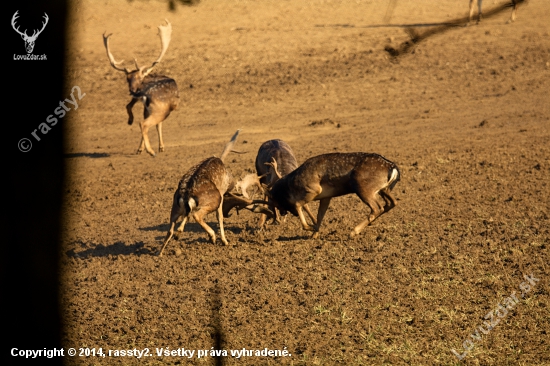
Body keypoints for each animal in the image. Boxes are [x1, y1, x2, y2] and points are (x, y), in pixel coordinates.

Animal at [103, 20, 179, 157]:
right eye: (127, 78)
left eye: (137, 78)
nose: (132, 90)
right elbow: (158, 125)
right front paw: (161, 147)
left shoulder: (143, 106)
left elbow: (129, 106)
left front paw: (142, 147)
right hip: (161, 110)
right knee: (144, 124)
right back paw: (151, 151)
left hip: (150, 108)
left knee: (140, 119)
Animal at [237, 151, 402, 239]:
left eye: (274, 202)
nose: (282, 213)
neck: (292, 184)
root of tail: (393, 168)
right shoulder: (326, 196)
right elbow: (320, 215)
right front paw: (314, 234)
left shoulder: (314, 189)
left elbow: (298, 204)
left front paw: (309, 228)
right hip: (384, 189)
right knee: (392, 203)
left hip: (362, 187)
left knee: (377, 207)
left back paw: (353, 231)